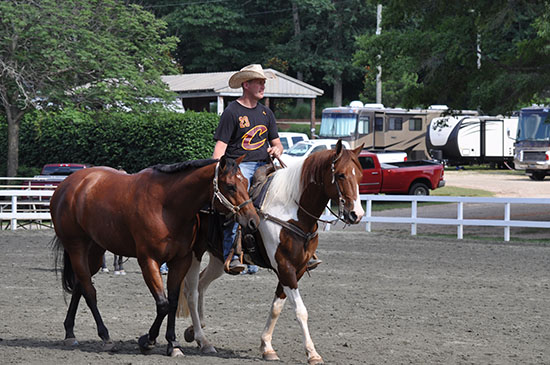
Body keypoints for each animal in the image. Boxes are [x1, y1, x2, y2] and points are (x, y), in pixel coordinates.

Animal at [49, 156, 260, 356]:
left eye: (246, 183)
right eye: (231, 186)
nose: (253, 221)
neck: (167, 206)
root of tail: (69, 183)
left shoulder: (181, 261)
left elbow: (172, 302)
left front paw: (173, 344)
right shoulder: (149, 261)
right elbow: (163, 304)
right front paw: (148, 341)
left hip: (95, 250)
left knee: (80, 285)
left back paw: (70, 333)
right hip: (76, 247)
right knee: (89, 291)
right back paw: (105, 337)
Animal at [182, 139, 366, 362]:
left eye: (360, 175)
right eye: (340, 175)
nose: (357, 214)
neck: (292, 212)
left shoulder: (297, 268)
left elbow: (277, 307)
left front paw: (267, 347)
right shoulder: (285, 267)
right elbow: (300, 310)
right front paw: (312, 353)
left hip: (218, 259)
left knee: (201, 284)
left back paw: (197, 332)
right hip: (194, 253)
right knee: (191, 291)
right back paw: (201, 337)